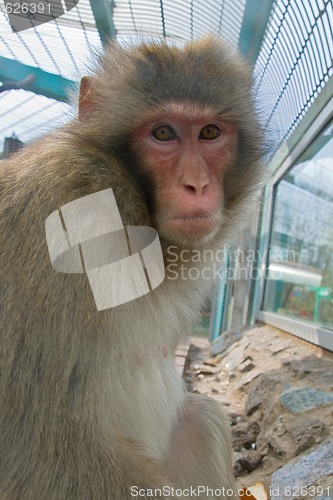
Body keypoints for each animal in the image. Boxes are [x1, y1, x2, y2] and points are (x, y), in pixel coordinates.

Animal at [0, 37, 264, 498]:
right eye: (163, 134)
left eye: (210, 132)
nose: (197, 184)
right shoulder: (57, 215)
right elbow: (35, 443)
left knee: (202, 421)